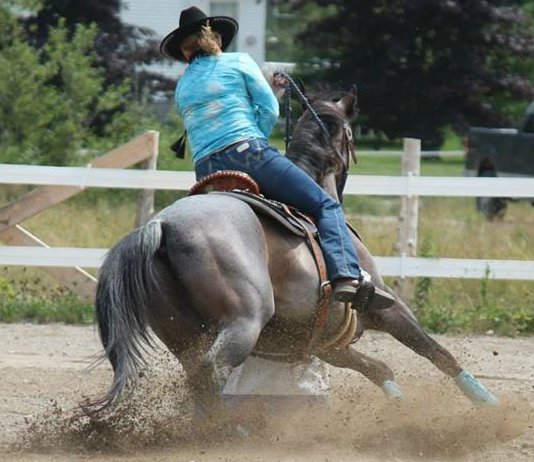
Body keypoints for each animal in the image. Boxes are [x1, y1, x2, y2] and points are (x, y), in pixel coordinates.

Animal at [91, 85, 498, 418]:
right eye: (350, 134)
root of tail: (162, 225)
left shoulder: (326, 342)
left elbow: (378, 368)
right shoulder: (387, 307)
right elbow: (435, 351)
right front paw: (488, 404)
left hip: (183, 334)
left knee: (197, 378)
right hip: (244, 321)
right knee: (211, 373)